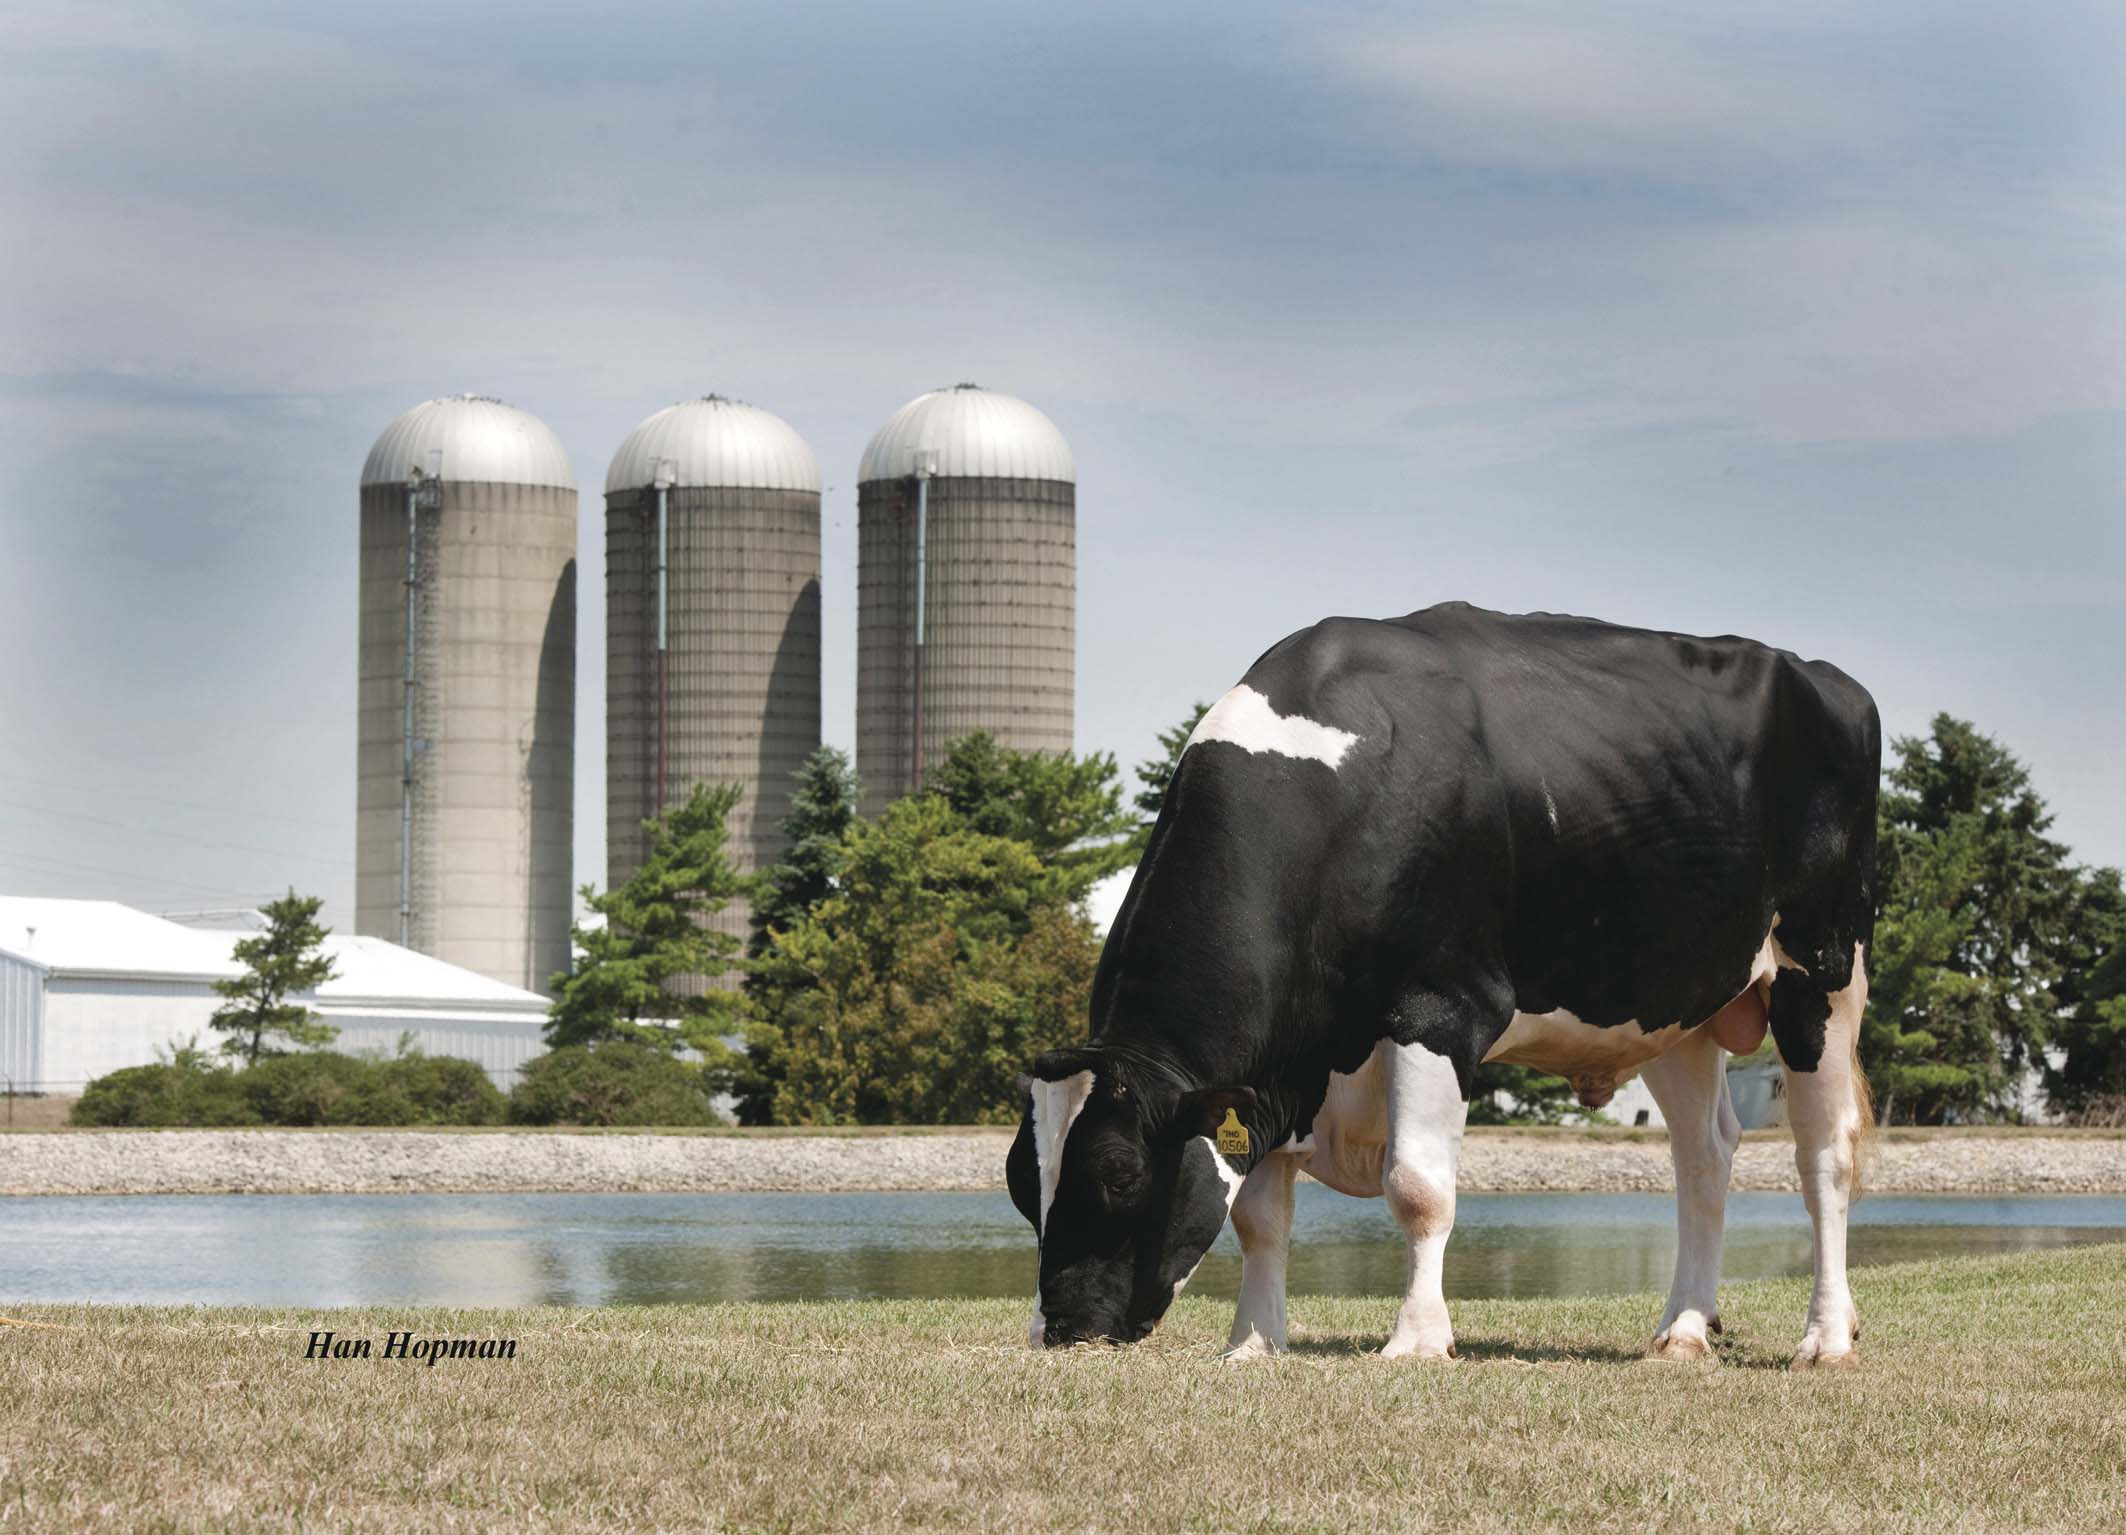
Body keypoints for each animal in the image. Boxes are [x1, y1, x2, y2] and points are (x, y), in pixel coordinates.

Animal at [1011, 599, 1879, 1360]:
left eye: (1119, 1174)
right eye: (1022, 1183)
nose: (1059, 1326)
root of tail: (1828, 677)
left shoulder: (1441, 1008)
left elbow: (1417, 1184)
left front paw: (1418, 1340)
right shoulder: (1273, 1075)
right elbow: (1260, 1213)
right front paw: (1253, 1343)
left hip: (1822, 970)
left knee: (1824, 1154)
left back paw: (1825, 1337)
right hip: (1677, 1006)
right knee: (1703, 1156)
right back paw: (1684, 1332)